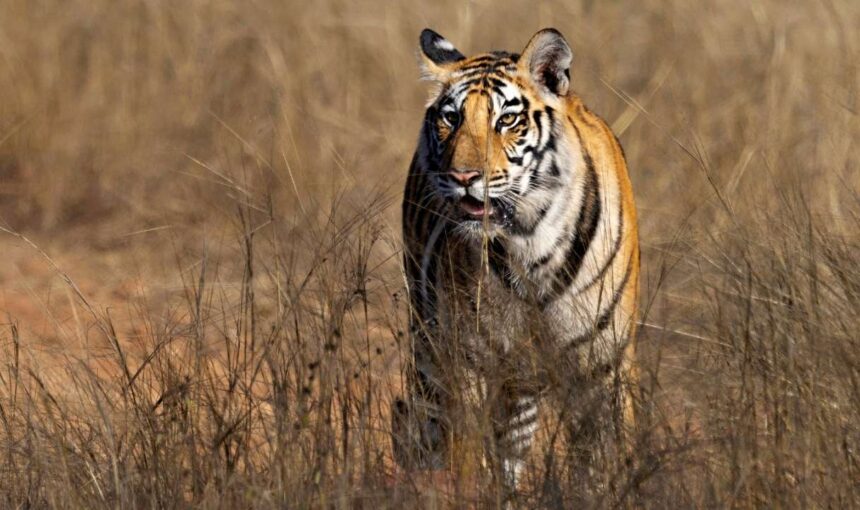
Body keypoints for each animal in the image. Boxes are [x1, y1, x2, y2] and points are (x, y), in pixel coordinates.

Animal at [393, 28, 640, 489]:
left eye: (506, 120)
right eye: (450, 118)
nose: (463, 177)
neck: (530, 244)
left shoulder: (603, 365)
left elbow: (604, 459)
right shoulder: (467, 361)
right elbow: (466, 460)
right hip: (432, 344)